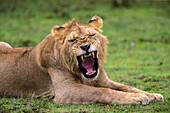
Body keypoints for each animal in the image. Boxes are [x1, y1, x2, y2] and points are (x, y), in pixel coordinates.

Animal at [0, 15, 165, 104]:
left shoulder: (105, 81)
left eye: (91, 35)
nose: (85, 46)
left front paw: (152, 95)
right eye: (72, 40)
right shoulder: (66, 90)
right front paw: (137, 98)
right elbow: (101, 92)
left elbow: (127, 87)